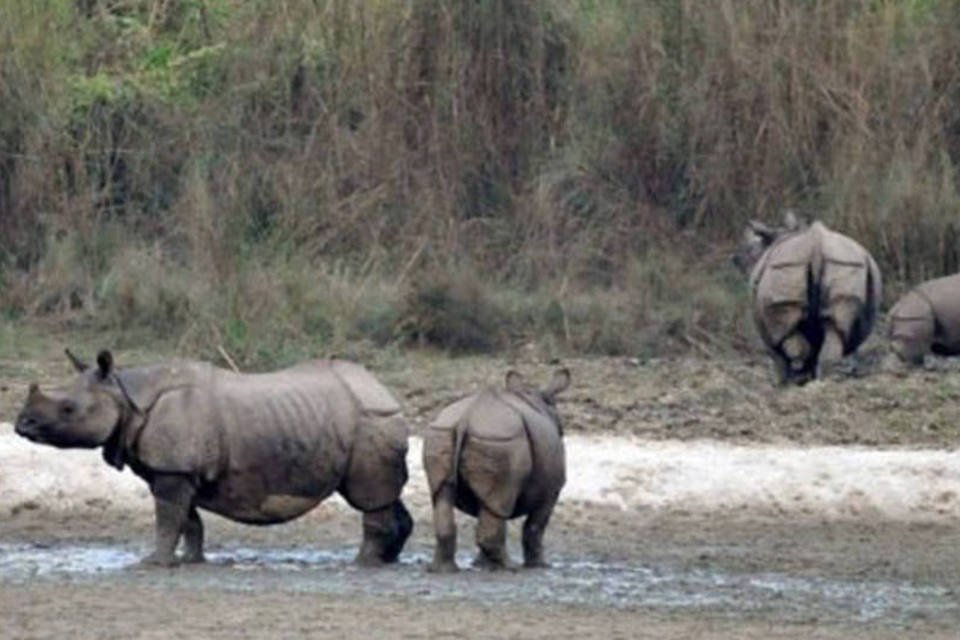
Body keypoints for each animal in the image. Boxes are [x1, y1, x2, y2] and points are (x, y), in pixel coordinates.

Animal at [15, 352, 412, 568]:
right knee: (387, 494)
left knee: (370, 497)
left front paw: (153, 563)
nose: (21, 425)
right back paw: (387, 561)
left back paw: (361, 564)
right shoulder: (174, 468)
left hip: (370, 420)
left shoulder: (173, 467)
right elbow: (187, 519)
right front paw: (190, 561)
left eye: (68, 409)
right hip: (364, 419)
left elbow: (168, 517)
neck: (126, 395)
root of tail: (383, 390)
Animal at [422, 368, 568, 572]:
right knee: (503, 501)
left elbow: (489, 511)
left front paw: (481, 564)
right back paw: (510, 567)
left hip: (442, 433)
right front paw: (541, 566)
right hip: (501, 440)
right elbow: (535, 525)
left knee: (444, 495)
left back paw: (443, 570)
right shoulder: (553, 489)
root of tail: (466, 418)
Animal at [736, 215, 884, 384]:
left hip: (784, 267)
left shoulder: (768, 335)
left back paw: (800, 379)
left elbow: (778, 358)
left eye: (752, 250)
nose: (735, 259)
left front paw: (781, 383)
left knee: (792, 340)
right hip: (845, 264)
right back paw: (825, 380)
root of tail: (816, 246)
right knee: (833, 330)